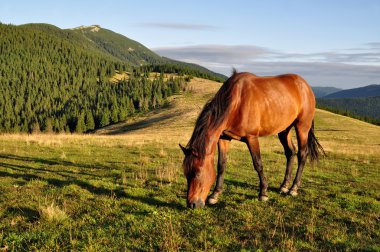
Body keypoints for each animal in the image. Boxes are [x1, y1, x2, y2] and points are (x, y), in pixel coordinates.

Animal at [179, 70, 324, 208]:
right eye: (186, 173)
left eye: (197, 173)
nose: (192, 204)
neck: (236, 102)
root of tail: (305, 85)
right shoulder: (224, 138)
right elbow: (221, 165)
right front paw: (215, 194)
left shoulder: (252, 138)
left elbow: (258, 164)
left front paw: (263, 193)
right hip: (284, 130)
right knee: (290, 152)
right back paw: (284, 186)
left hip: (302, 127)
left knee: (302, 154)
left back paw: (293, 188)